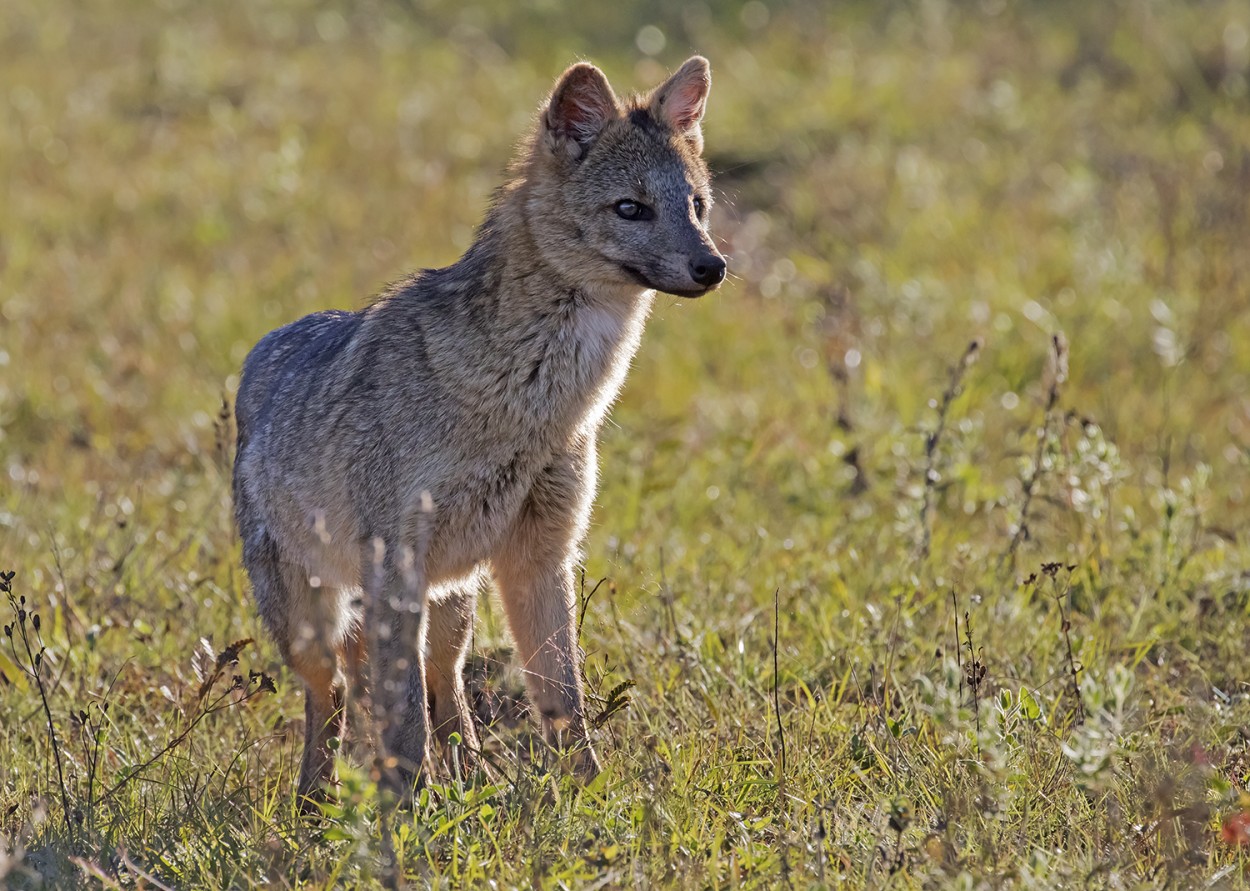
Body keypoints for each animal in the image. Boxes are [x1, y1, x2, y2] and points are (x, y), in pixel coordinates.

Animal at [231, 57, 730, 804]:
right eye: (631, 208)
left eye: (696, 207)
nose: (714, 266)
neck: (528, 406)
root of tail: (264, 349)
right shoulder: (398, 565)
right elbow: (403, 718)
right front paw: (408, 815)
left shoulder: (542, 557)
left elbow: (564, 700)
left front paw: (591, 798)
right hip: (313, 623)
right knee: (340, 691)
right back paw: (317, 800)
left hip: (451, 606)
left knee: (446, 687)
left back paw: (467, 778)